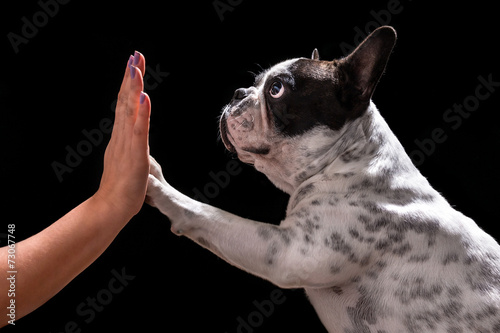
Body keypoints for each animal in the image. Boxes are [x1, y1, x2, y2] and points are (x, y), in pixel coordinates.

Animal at [146, 26, 500, 332]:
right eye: (256, 83)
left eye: (276, 90)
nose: (238, 93)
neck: (345, 162)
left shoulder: (284, 252)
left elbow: (205, 213)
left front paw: (157, 187)